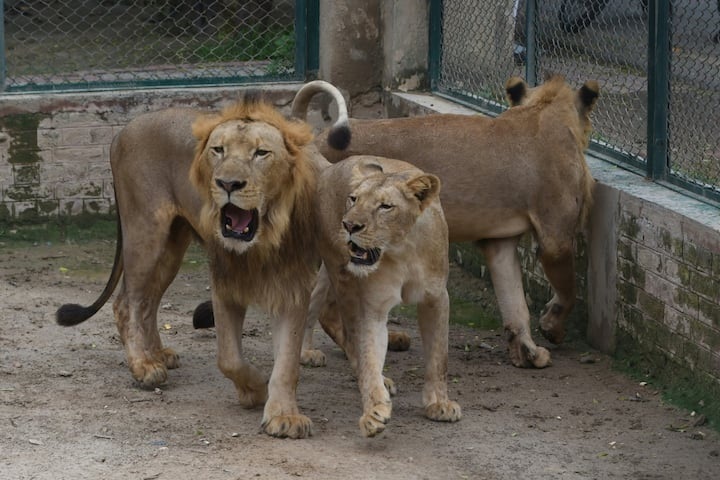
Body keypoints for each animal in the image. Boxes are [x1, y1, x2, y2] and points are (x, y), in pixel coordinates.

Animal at [55, 82, 350, 439]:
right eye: (218, 150)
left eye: (261, 153)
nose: (227, 183)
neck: (263, 238)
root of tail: (122, 131)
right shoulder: (224, 281)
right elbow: (230, 358)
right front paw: (254, 389)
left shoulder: (292, 286)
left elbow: (287, 360)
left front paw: (284, 415)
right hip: (145, 230)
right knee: (127, 301)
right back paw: (144, 366)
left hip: (172, 244)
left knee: (148, 301)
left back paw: (158, 354)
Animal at [294, 76, 599, 369]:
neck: (545, 110)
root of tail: (317, 141)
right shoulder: (556, 238)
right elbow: (568, 290)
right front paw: (552, 328)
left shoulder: (499, 243)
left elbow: (514, 302)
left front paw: (527, 353)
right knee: (328, 306)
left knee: (319, 300)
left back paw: (319, 352)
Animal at [309, 154, 461, 437]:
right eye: (353, 199)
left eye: (385, 206)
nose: (349, 225)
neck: (403, 251)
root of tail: (333, 165)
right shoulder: (373, 307)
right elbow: (369, 355)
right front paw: (374, 412)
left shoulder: (437, 298)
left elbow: (439, 356)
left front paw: (439, 404)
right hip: (341, 274)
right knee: (345, 331)